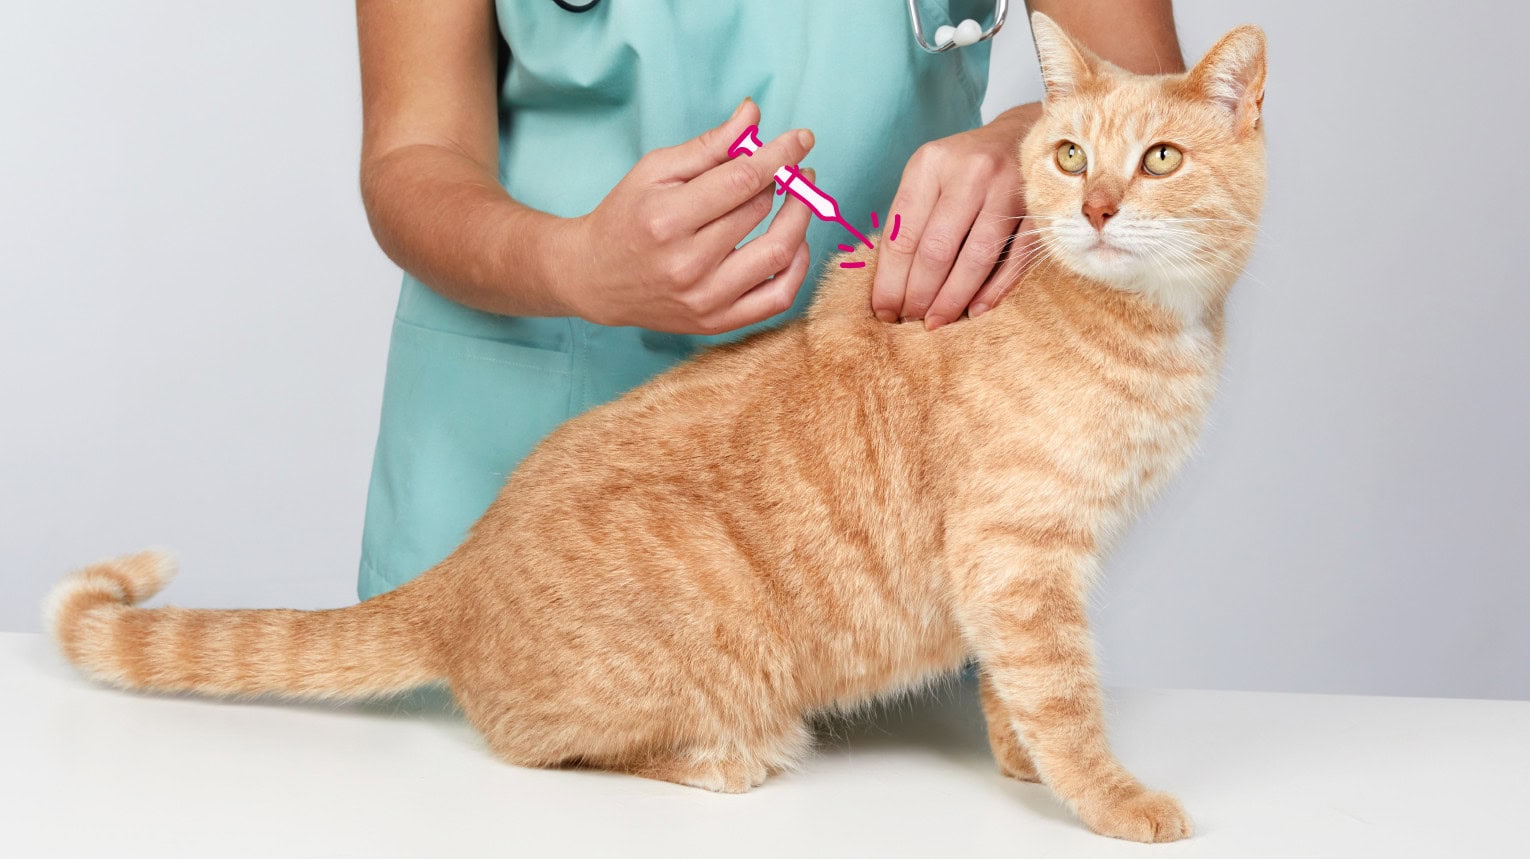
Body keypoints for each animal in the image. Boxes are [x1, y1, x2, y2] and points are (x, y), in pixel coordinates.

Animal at [47, 16, 1266, 839]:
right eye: (1070, 157)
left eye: (1158, 158)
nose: (1097, 207)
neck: (1148, 326)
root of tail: (455, 573)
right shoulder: (1018, 561)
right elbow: (1062, 696)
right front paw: (1110, 799)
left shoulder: (1029, 574)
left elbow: (1017, 694)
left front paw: (1020, 766)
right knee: (548, 747)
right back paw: (735, 752)